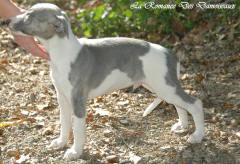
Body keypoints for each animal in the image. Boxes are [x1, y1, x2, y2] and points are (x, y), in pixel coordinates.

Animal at [5, 3, 204, 160]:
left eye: (30, 16)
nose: (6, 22)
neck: (62, 52)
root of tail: (171, 54)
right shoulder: (62, 97)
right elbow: (64, 123)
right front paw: (61, 142)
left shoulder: (78, 100)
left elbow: (77, 129)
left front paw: (75, 152)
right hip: (162, 87)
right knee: (179, 105)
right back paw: (182, 126)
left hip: (164, 87)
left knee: (195, 103)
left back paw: (197, 136)